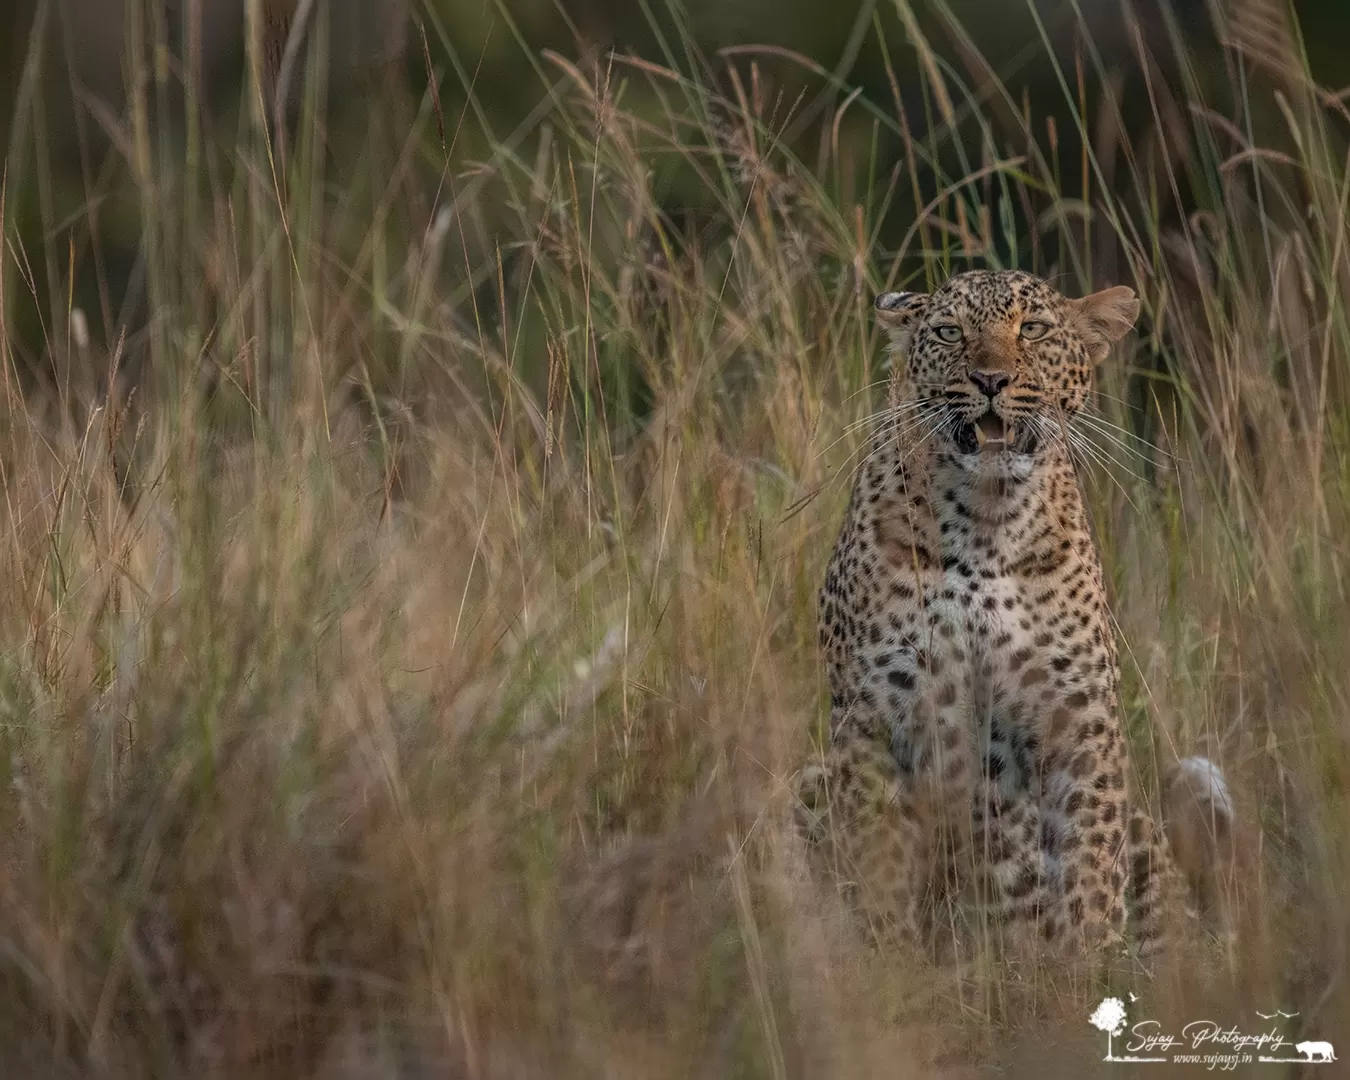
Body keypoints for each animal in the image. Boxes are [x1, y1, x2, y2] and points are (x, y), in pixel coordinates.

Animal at [788, 265, 1236, 966]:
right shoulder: (872, 718)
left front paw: (1084, 969)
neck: (985, 524)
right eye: (950, 332)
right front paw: (888, 965)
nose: (990, 380)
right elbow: (880, 860)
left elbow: (1087, 868)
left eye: (1035, 329)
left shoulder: (1077, 719)